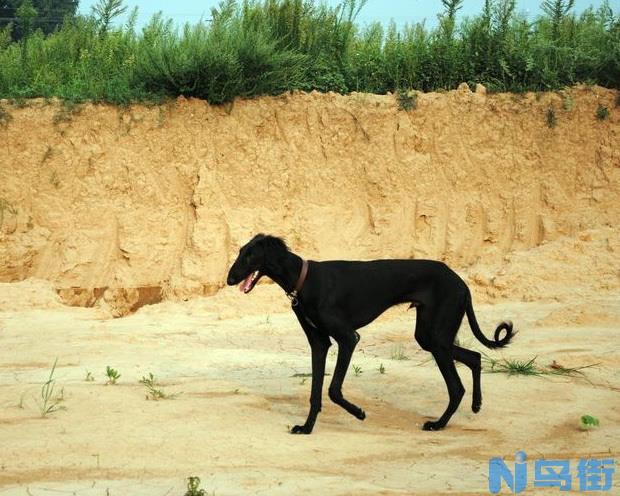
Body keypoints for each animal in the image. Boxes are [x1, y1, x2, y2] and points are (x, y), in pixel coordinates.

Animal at [228, 234, 512, 432]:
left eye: (250, 256)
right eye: (240, 252)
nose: (229, 280)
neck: (304, 280)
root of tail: (462, 283)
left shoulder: (348, 338)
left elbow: (333, 389)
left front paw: (359, 413)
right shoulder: (319, 343)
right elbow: (315, 393)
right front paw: (307, 428)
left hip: (437, 337)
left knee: (456, 387)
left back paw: (438, 424)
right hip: (430, 336)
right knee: (475, 357)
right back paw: (476, 405)